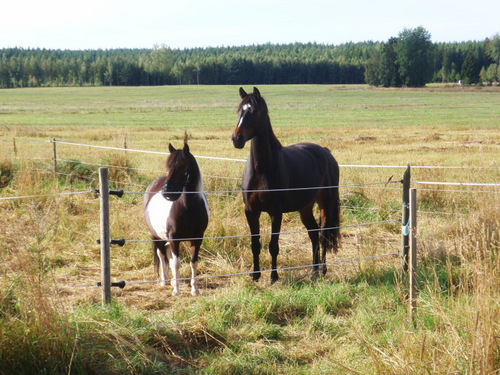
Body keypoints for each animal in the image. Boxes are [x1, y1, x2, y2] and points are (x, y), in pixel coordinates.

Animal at [144, 138, 208, 296]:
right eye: (168, 166)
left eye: (183, 166)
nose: (167, 191)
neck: (188, 208)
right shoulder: (174, 238)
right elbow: (176, 263)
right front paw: (177, 291)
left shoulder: (198, 238)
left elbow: (193, 262)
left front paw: (194, 290)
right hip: (155, 236)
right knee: (161, 255)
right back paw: (165, 281)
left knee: (168, 254)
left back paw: (172, 281)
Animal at [230, 87, 340, 282]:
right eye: (238, 111)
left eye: (254, 111)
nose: (237, 139)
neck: (261, 168)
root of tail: (326, 152)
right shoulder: (250, 211)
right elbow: (255, 243)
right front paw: (255, 276)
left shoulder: (276, 212)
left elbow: (273, 245)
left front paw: (274, 276)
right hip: (305, 207)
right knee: (313, 234)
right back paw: (313, 271)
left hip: (326, 204)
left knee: (323, 235)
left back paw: (322, 270)